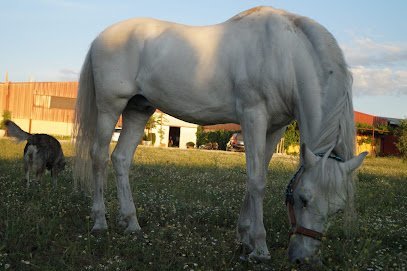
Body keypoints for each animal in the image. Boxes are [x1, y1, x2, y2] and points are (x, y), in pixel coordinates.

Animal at [74, 6, 370, 266]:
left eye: (338, 208)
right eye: (302, 199)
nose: (304, 259)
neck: (286, 54)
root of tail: (100, 37)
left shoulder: (276, 127)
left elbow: (258, 174)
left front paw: (245, 238)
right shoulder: (253, 116)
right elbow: (257, 181)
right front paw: (259, 248)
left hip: (138, 108)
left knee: (121, 159)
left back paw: (132, 224)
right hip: (110, 107)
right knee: (99, 157)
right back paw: (100, 222)